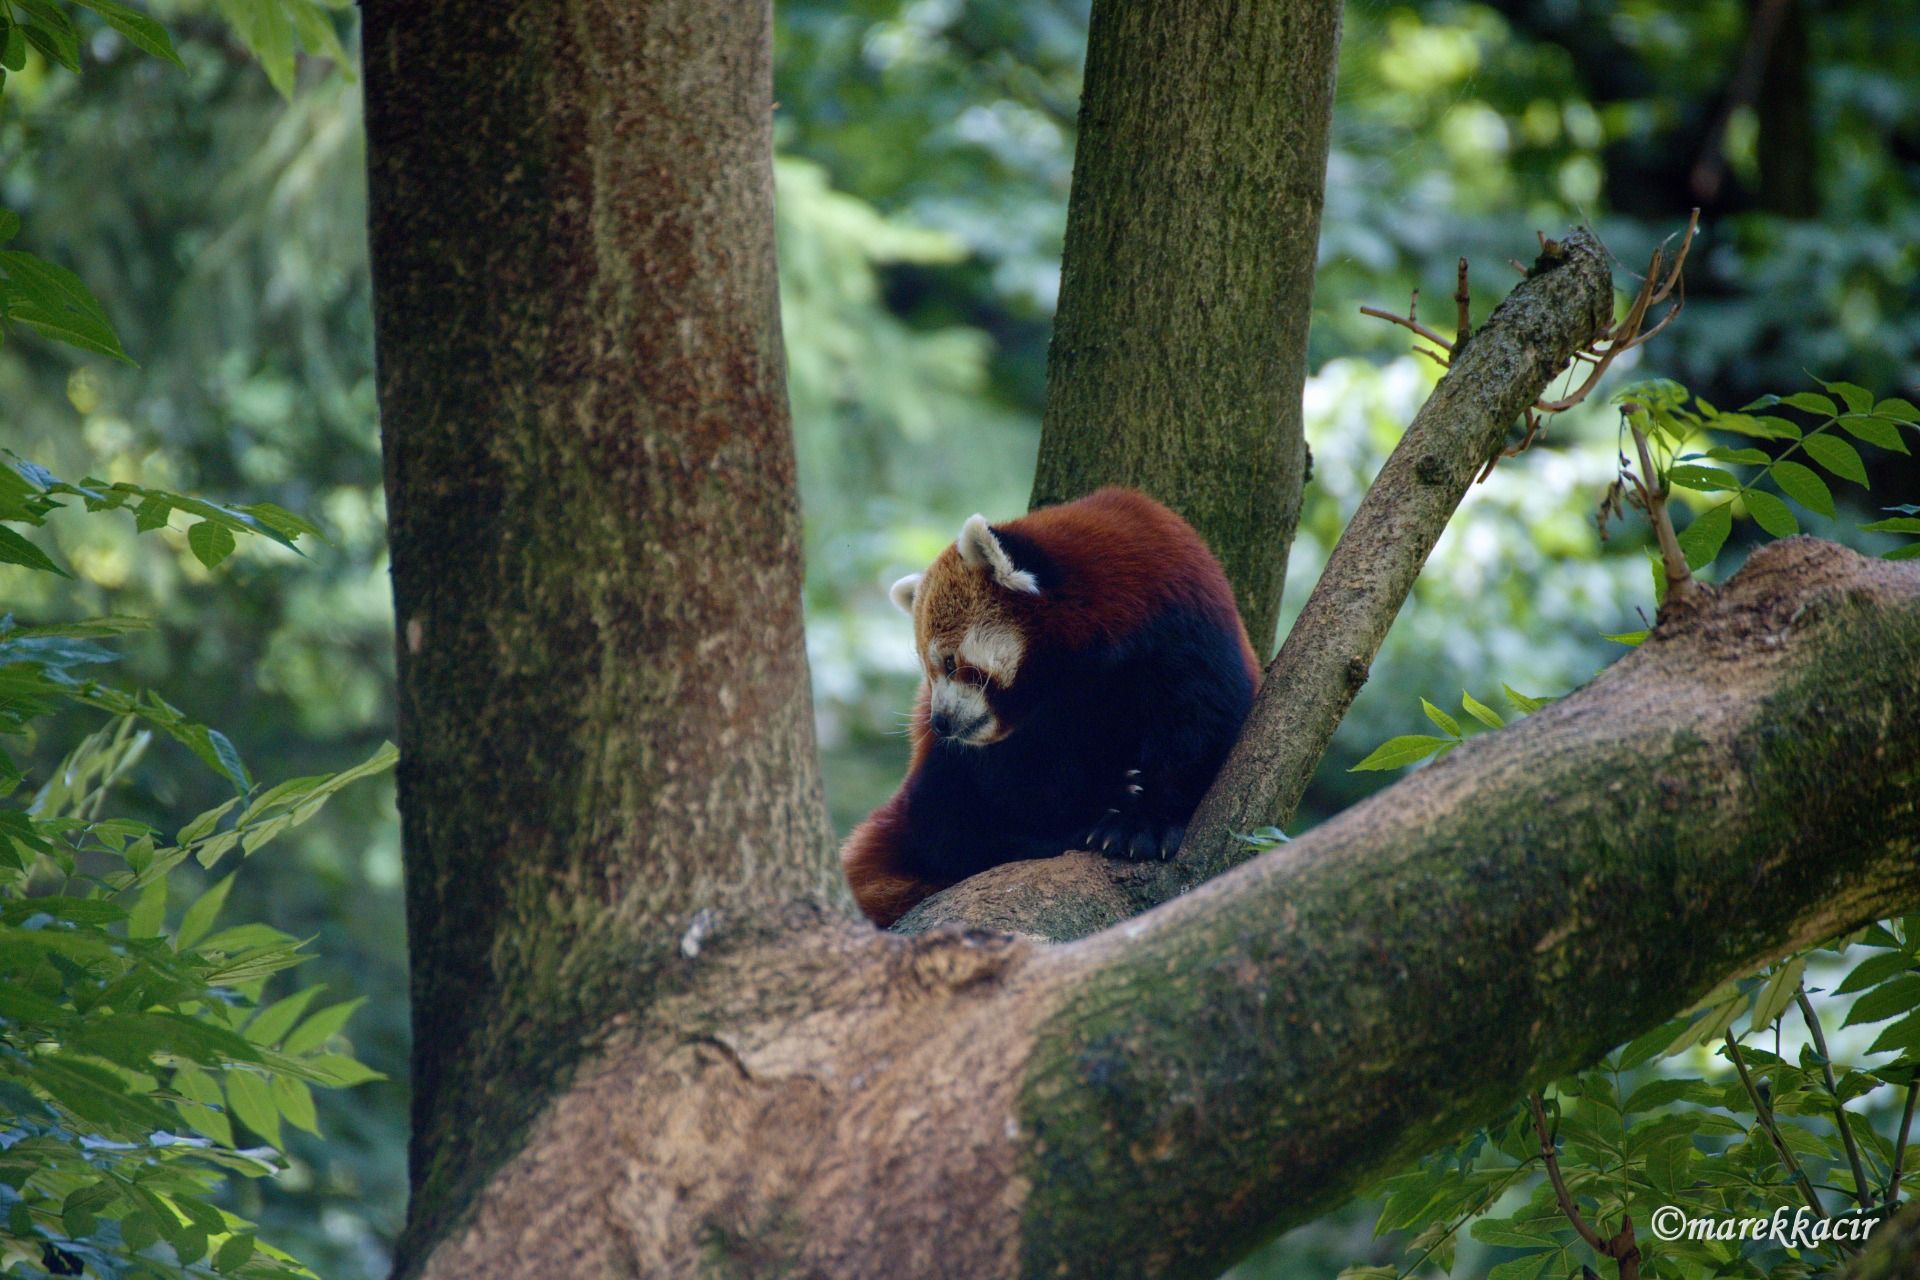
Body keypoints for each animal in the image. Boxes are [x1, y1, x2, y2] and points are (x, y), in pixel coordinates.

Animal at [841, 487, 1259, 927]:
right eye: (929, 671)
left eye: (951, 663)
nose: (939, 721)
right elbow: (1018, 788)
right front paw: (1098, 804)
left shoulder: (1185, 629)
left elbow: (1197, 728)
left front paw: (1147, 823)